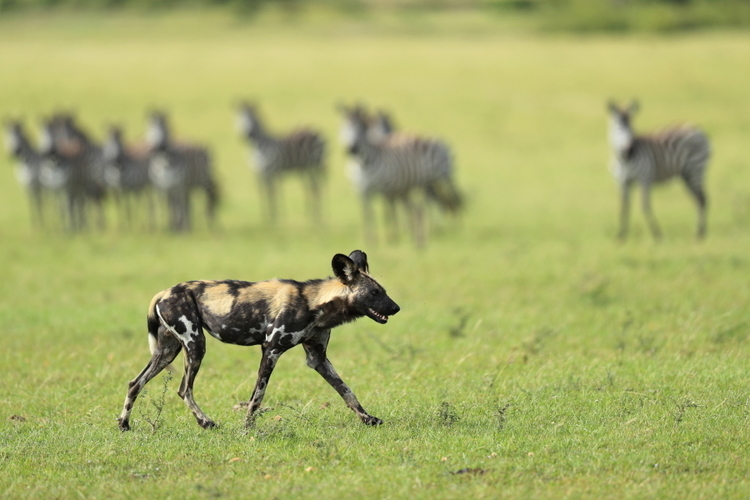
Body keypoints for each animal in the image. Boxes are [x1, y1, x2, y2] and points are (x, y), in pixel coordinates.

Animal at [118, 250, 400, 431]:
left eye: (383, 291)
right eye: (374, 293)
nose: (396, 308)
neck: (314, 304)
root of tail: (163, 292)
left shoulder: (318, 358)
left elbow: (346, 391)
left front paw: (368, 419)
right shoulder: (271, 350)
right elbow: (258, 396)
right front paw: (248, 428)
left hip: (168, 352)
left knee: (135, 382)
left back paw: (124, 424)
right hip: (195, 345)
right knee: (184, 389)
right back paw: (206, 422)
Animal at [338, 104, 461, 247]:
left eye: (360, 128)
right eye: (343, 127)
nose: (352, 149)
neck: (363, 163)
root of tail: (434, 137)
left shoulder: (386, 189)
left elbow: (388, 213)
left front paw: (392, 238)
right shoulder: (362, 192)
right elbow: (367, 215)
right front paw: (370, 241)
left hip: (439, 178)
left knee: (447, 200)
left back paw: (445, 228)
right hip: (424, 183)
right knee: (425, 205)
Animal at [607, 101, 710, 240]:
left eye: (632, 128)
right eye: (617, 128)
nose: (628, 150)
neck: (625, 160)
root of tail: (697, 130)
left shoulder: (644, 179)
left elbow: (645, 206)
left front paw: (657, 235)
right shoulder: (622, 182)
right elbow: (624, 207)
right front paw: (621, 235)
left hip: (695, 169)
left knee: (702, 199)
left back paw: (700, 234)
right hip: (687, 174)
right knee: (698, 199)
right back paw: (699, 232)